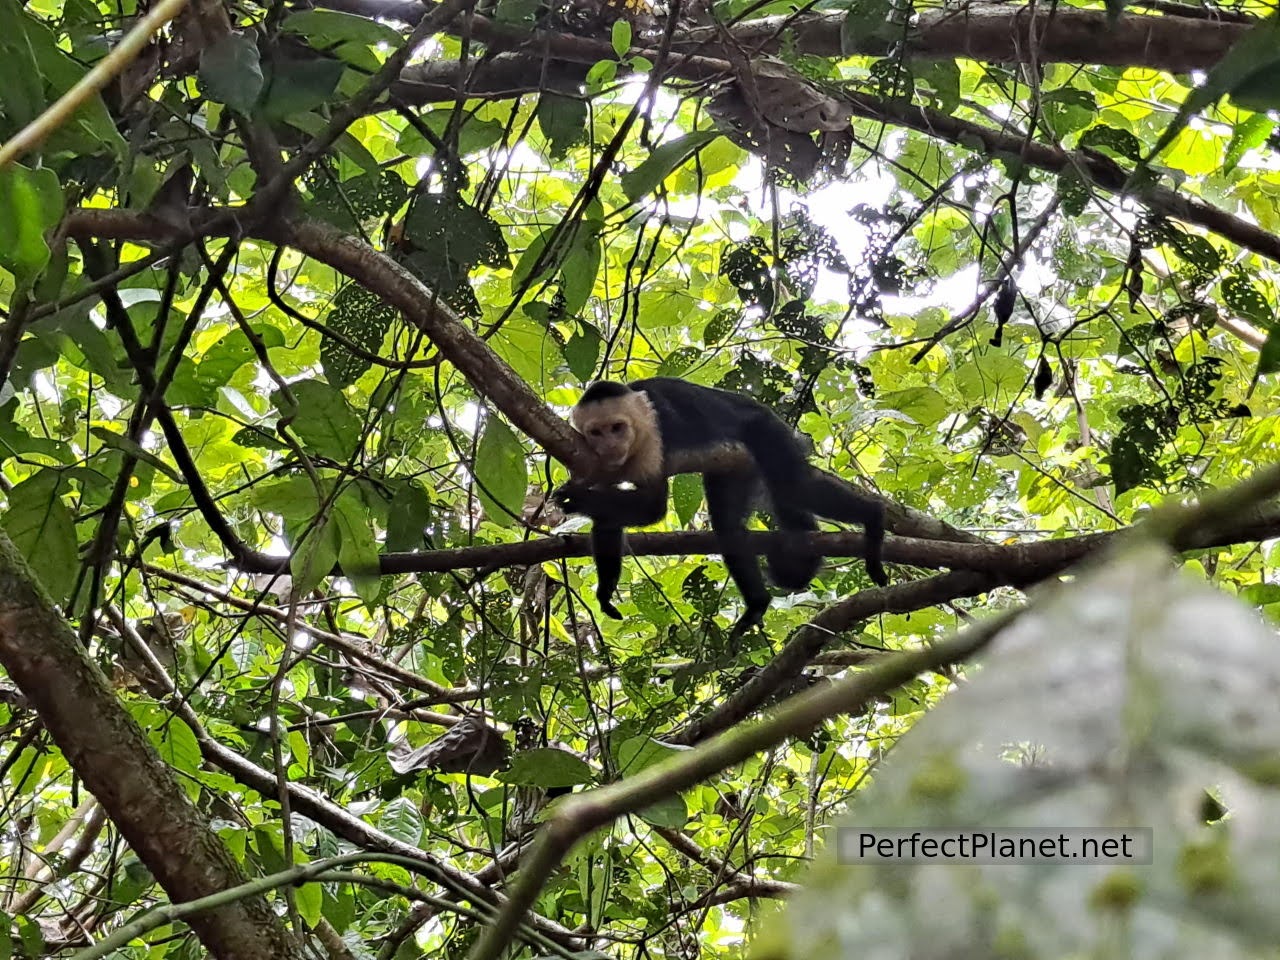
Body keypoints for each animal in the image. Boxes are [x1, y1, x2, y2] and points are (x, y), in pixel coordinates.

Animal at [550, 378, 890, 640]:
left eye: (617, 427)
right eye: (596, 432)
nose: (610, 445)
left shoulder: (654, 435)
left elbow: (652, 508)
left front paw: (576, 499)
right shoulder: (594, 461)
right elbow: (608, 521)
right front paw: (605, 592)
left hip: (764, 430)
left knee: (792, 485)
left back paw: (873, 517)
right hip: (736, 467)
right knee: (728, 525)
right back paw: (757, 603)